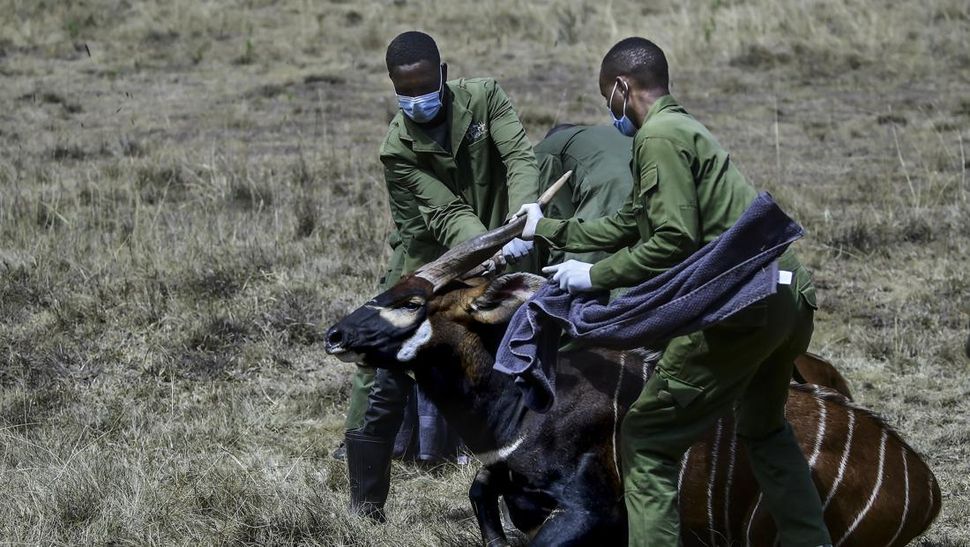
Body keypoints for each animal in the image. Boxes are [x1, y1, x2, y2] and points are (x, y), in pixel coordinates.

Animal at [326, 213, 936, 544]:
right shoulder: (507, 482)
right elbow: (482, 495)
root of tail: (927, 489)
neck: (526, 404)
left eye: (410, 302)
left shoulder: (589, 513)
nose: (334, 334)